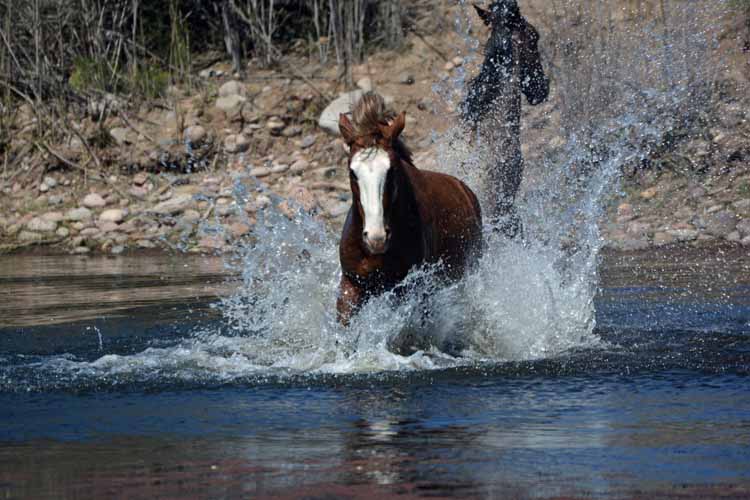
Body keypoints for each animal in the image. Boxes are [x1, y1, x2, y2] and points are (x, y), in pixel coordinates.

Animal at [340, 93, 484, 328]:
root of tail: (464, 189)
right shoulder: (352, 285)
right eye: (352, 172)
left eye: (391, 170)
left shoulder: (410, 290)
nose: (376, 238)